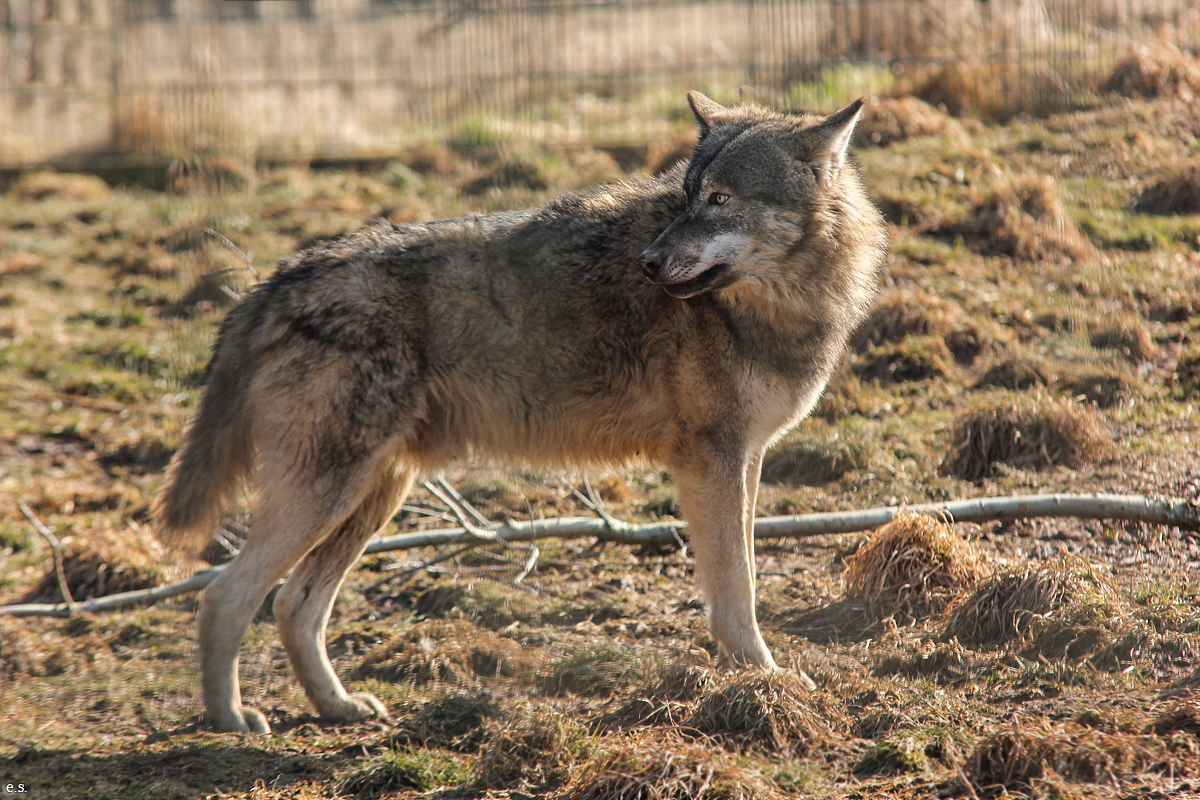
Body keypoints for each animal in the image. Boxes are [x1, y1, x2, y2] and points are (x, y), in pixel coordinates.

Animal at [154, 92, 889, 733]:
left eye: (719, 200)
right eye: (687, 196)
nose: (649, 262)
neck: (775, 307)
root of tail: (273, 281)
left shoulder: (744, 459)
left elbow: (741, 579)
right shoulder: (711, 462)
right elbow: (737, 592)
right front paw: (765, 679)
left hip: (371, 496)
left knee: (292, 606)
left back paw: (337, 708)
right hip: (328, 493)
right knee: (224, 595)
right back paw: (230, 721)